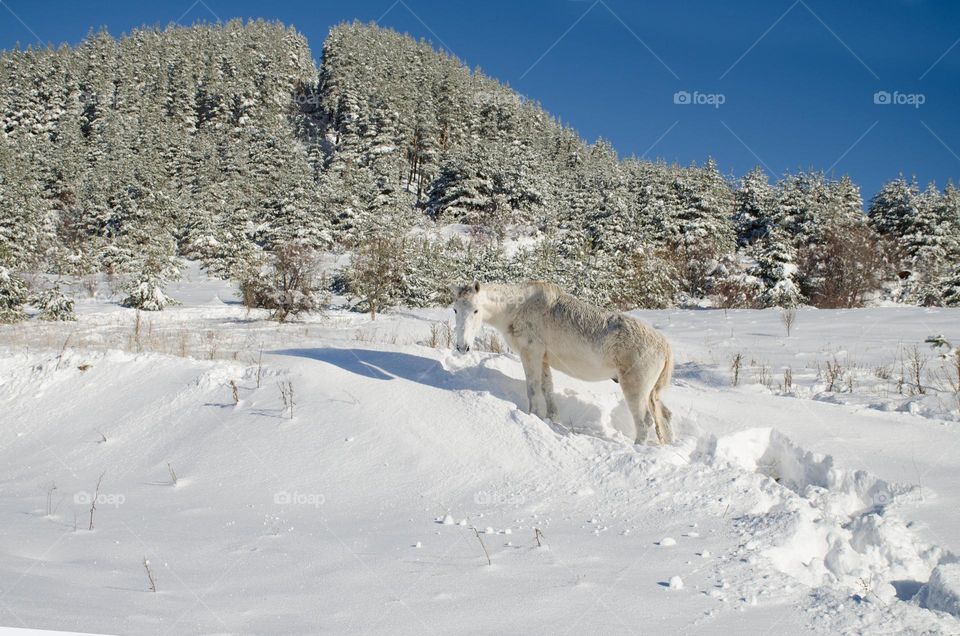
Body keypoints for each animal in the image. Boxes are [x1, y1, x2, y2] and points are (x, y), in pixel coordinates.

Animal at [451, 281, 674, 445]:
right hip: (652, 392)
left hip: (635, 386)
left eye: (476, 310)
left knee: (644, 421)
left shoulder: (531, 353)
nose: (462, 347)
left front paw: (533, 415)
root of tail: (665, 346)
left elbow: (533, 388)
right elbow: (547, 388)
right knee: (664, 415)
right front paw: (552, 418)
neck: (514, 309)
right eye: (455, 310)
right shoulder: (543, 358)